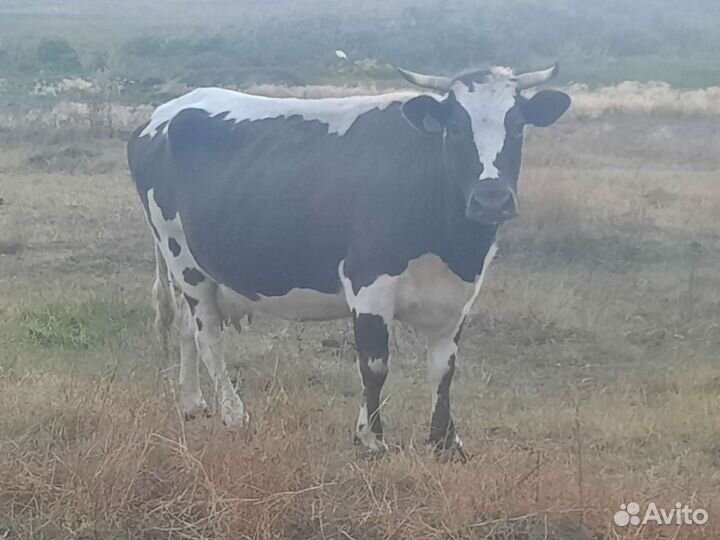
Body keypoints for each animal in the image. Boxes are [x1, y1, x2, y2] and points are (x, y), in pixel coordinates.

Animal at [127, 64, 570, 455]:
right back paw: (234, 414)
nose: (491, 199)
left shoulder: (458, 296)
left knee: (187, 328)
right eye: (456, 128)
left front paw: (445, 442)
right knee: (208, 335)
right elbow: (374, 365)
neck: (452, 246)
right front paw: (371, 439)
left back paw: (192, 404)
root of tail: (162, 114)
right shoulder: (369, 284)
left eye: (518, 126)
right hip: (183, 258)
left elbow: (444, 369)